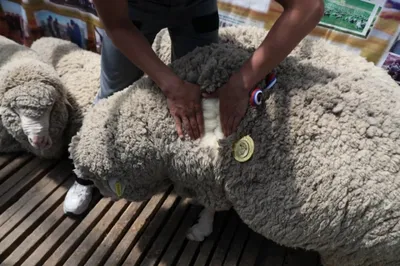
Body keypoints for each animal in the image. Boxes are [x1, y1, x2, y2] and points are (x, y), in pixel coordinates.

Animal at [69, 25, 400, 266]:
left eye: (97, 178)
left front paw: (199, 230)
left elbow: (210, 207)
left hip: (359, 253)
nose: (101, 193)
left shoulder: (207, 176)